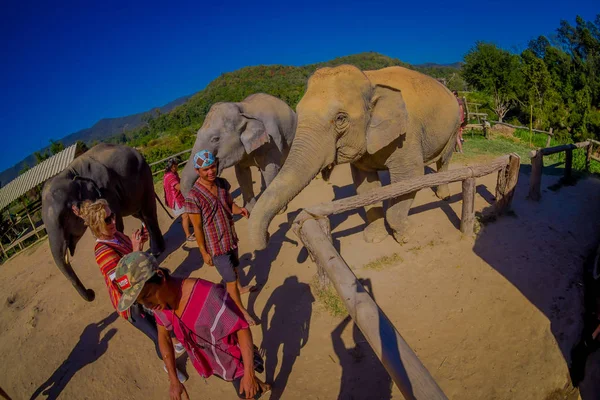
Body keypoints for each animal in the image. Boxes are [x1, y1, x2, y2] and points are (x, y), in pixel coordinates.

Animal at [41, 143, 165, 300]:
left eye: (64, 217)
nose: (91, 292)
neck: (68, 173)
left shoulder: (105, 189)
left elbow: (115, 222)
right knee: (139, 213)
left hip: (144, 175)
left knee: (148, 212)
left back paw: (157, 252)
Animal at [247, 64, 460, 248]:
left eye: (341, 118)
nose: (267, 237)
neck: (369, 80)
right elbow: (365, 185)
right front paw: (374, 238)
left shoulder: (408, 134)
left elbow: (409, 178)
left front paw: (406, 236)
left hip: (455, 125)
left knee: (444, 159)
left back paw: (444, 195)